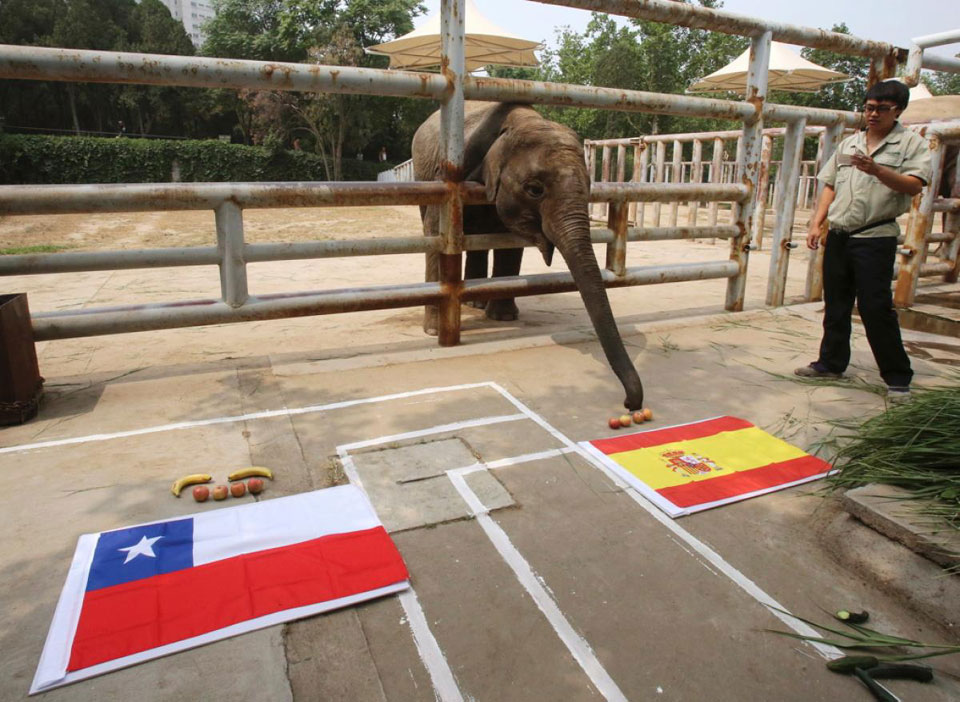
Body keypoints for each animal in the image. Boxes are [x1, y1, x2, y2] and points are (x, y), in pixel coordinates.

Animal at [412, 101, 644, 410]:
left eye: (589, 187)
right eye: (535, 189)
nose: (630, 403)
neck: (518, 122)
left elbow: (511, 244)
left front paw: (504, 319)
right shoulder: (447, 176)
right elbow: (436, 231)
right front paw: (434, 333)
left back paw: (476, 302)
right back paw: (471, 304)